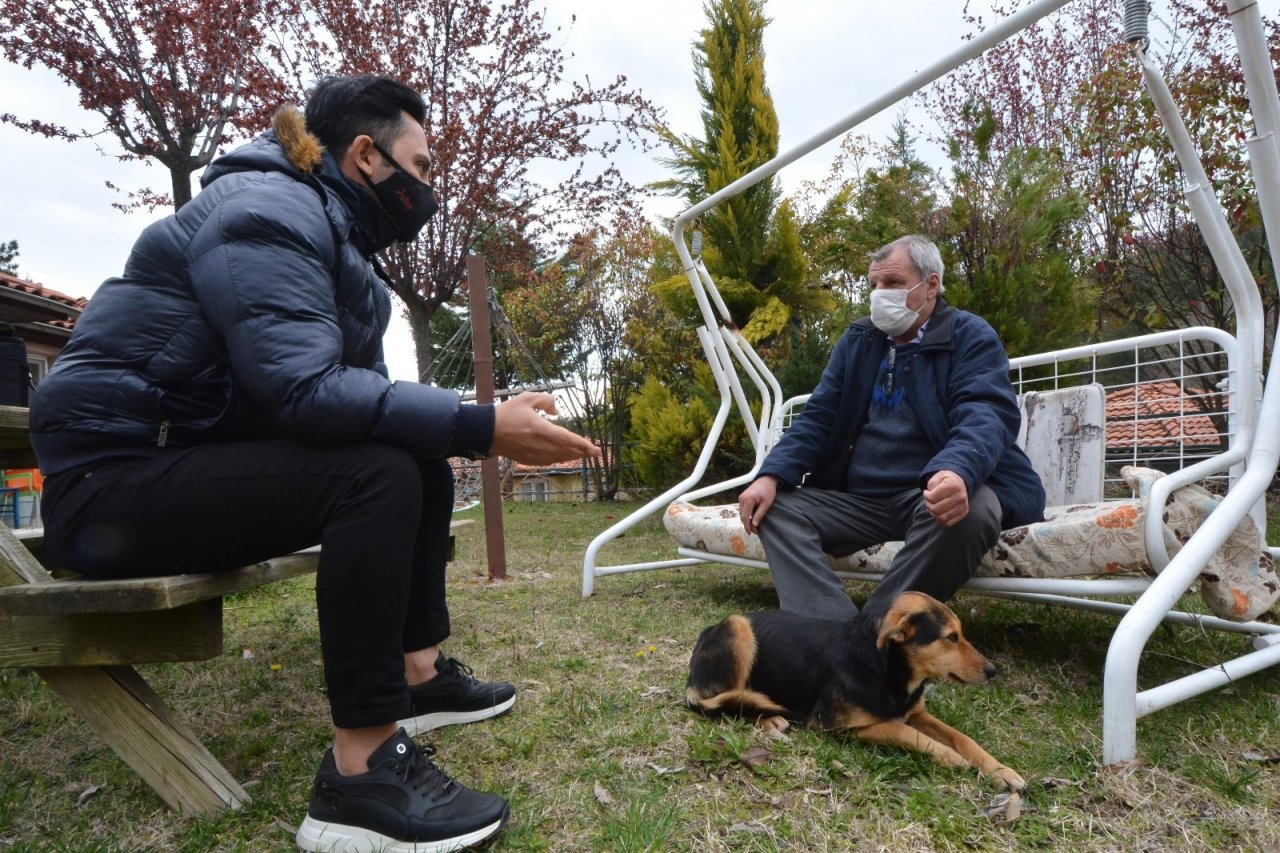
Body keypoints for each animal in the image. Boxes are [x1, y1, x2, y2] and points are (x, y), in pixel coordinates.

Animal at [686, 589, 1024, 794]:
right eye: (951, 637)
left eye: (961, 634)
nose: (993, 671)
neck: (887, 669)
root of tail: (705, 633)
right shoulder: (839, 726)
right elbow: (907, 733)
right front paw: (955, 760)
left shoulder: (916, 712)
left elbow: (962, 738)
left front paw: (1000, 771)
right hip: (738, 627)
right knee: (722, 699)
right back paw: (767, 717)